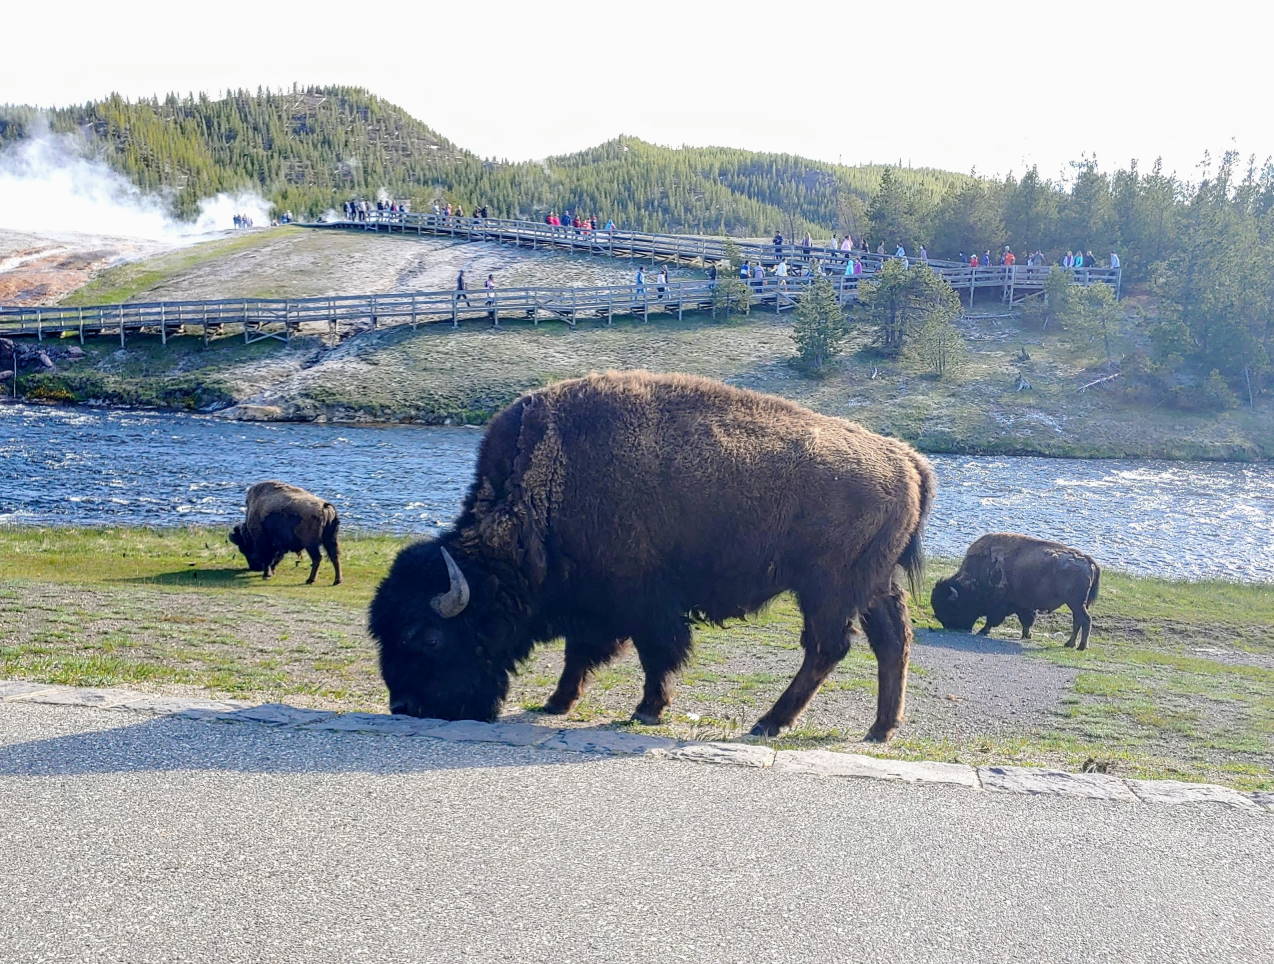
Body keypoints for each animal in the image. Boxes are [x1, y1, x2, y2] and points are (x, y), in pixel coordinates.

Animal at [369, 370, 934, 741]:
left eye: (429, 636)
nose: (405, 707)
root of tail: (905, 458)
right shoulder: (593, 603)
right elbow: (581, 653)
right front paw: (556, 702)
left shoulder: (641, 601)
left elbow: (651, 653)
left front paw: (647, 710)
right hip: (874, 584)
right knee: (892, 643)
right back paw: (880, 730)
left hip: (827, 588)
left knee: (827, 647)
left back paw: (770, 723)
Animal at [930, 533, 1100, 649]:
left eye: (951, 607)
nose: (950, 626)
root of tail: (1087, 559)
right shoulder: (1023, 606)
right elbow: (1027, 620)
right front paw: (1026, 635)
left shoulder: (999, 605)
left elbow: (993, 620)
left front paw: (983, 631)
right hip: (1076, 604)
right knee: (1078, 621)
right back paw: (1069, 644)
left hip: (1075, 603)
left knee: (1085, 620)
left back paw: (1080, 646)